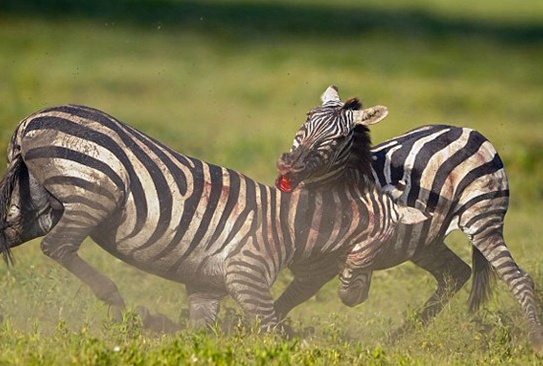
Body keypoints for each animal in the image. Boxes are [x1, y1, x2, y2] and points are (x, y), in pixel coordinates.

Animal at [0, 94, 428, 332]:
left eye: (337, 137)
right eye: (387, 245)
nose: (356, 299)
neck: (294, 223)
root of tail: (28, 121)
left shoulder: (206, 286)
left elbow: (202, 339)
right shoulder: (247, 276)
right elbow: (272, 331)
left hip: (34, 208)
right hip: (93, 193)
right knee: (58, 247)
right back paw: (113, 297)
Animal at [276, 85, 543, 352]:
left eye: (339, 138)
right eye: (308, 118)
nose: (290, 166)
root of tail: (470, 132)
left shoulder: (323, 266)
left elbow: (293, 297)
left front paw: (272, 334)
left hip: (482, 221)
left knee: (519, 279)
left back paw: (536, 340)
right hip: (424, 241)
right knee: (455, 273)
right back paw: (396, 338)